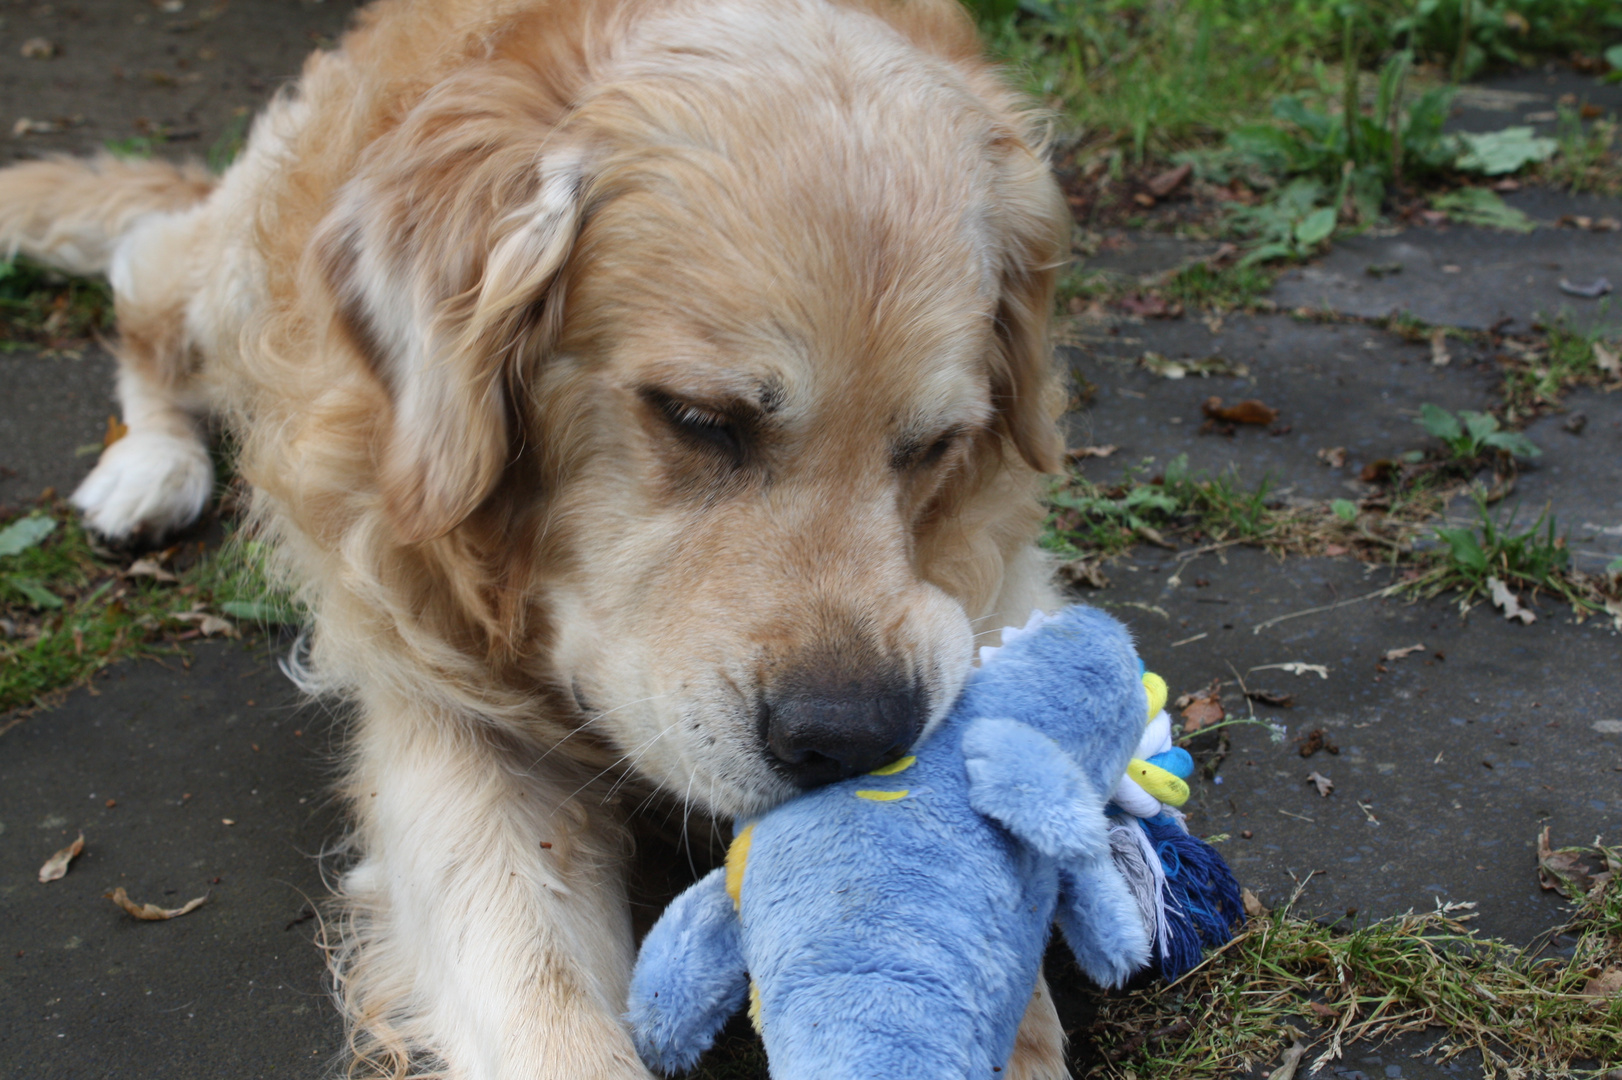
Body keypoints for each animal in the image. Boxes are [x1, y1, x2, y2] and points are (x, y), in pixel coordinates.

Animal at [0, 2, 1077, 1070]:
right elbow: (540, 998)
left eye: (937, 444)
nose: (852, 741)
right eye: (696, 418)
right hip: (241, 283)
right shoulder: (447, 711)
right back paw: (148, 465)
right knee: (144, 281)